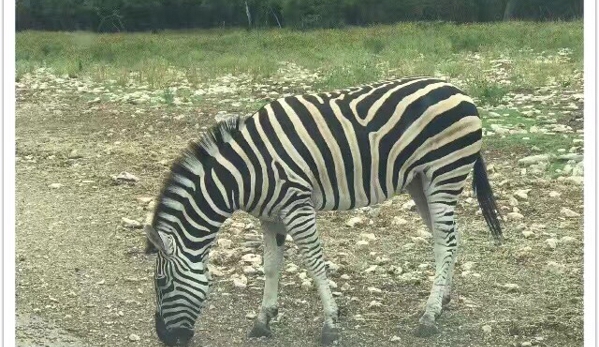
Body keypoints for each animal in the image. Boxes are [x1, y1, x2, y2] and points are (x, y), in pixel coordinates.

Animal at [144, 77, 502, 346]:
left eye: (161, 283)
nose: (165, 338)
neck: (245, 172)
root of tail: (457, 89)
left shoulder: (296, 205)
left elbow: (315, 264)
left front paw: (330, 323)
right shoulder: (269, 216)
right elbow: (270, 267)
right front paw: (263, 320)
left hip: (445, 173)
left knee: (445, 241)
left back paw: (428, 316)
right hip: (421, 182)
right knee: (449, 238)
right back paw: (442, 302)